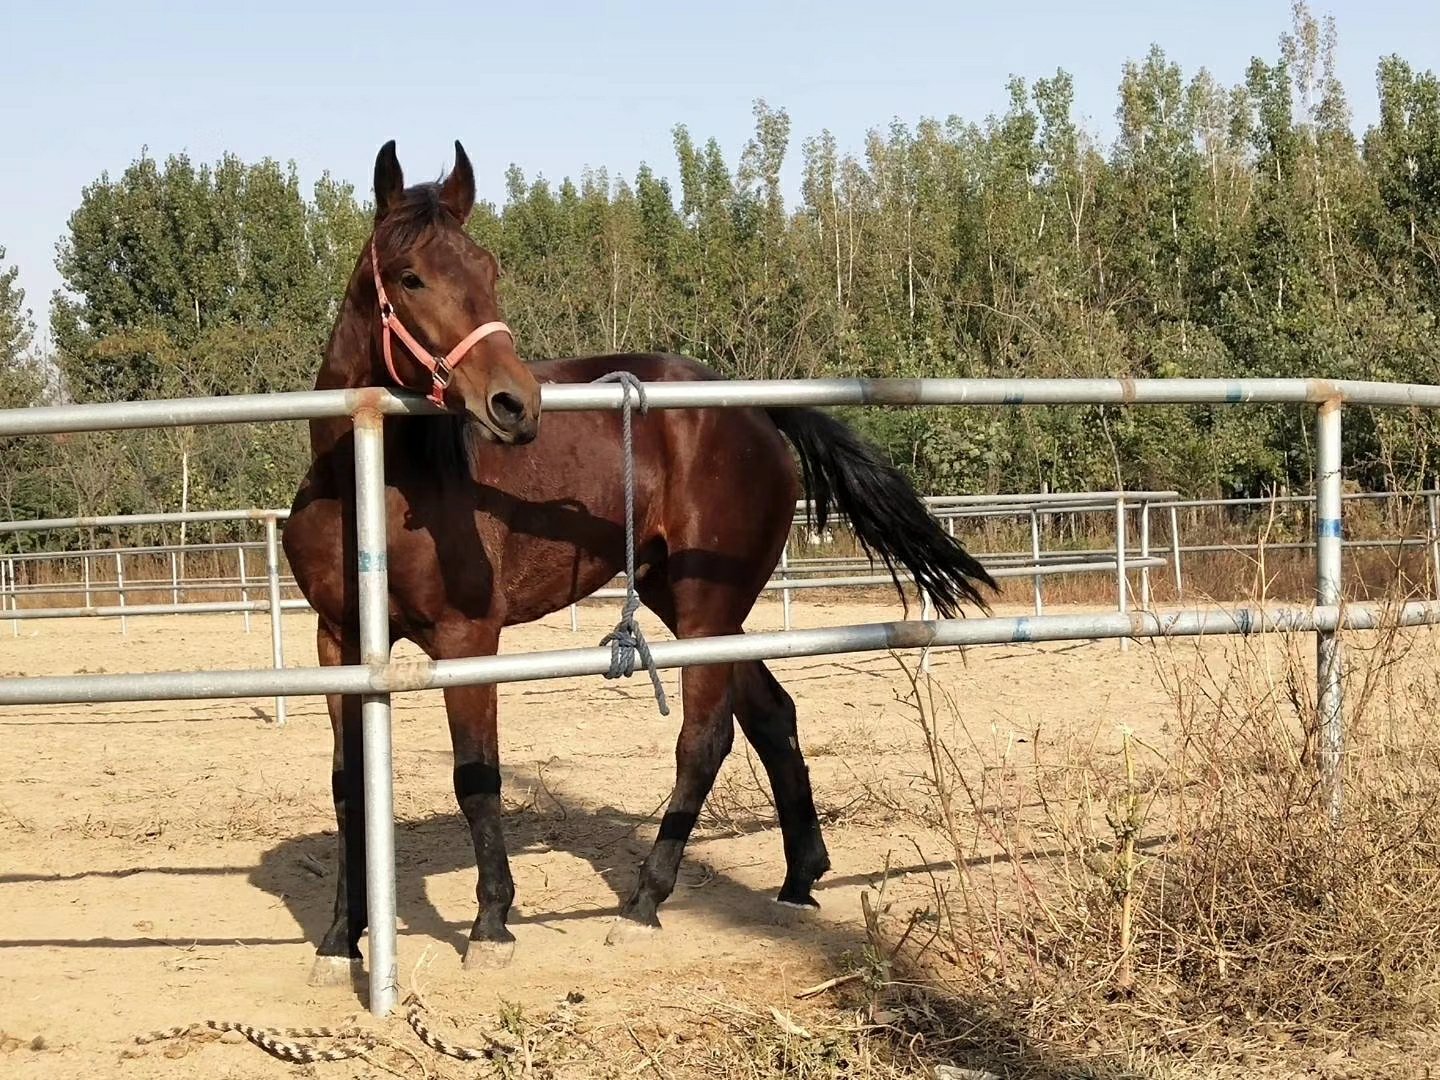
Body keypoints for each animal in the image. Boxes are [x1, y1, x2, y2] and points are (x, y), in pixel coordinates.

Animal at [283, 140, 997, 983]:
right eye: (410, 275)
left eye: (488, 269)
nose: (514, 404)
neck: (374, 486)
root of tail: (749, 407)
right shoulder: (339, 642)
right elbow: (348, 786)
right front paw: (339, 941)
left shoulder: (467, 640)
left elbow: (476, 778)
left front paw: (491, 926)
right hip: (687, 605)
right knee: (770, 714)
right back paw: (798, 880)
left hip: (704, 609)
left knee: (705, 739)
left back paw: (646, 902)